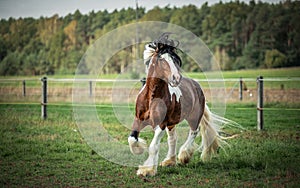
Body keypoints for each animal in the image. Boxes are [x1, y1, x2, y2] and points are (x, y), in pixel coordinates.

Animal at [127, 35, 230, 178]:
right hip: (172, 123)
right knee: (173, 138)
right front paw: (139, 149)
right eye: (161, 59)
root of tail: (196, 85)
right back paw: (169, 161)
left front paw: (147, 170)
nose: (176, 78)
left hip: (193, 117)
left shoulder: (161, 124)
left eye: (175, 59)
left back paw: (184, 156)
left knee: (194, 131)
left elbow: (154, 146)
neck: (152, 97)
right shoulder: (139, 119)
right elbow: (132, 139)